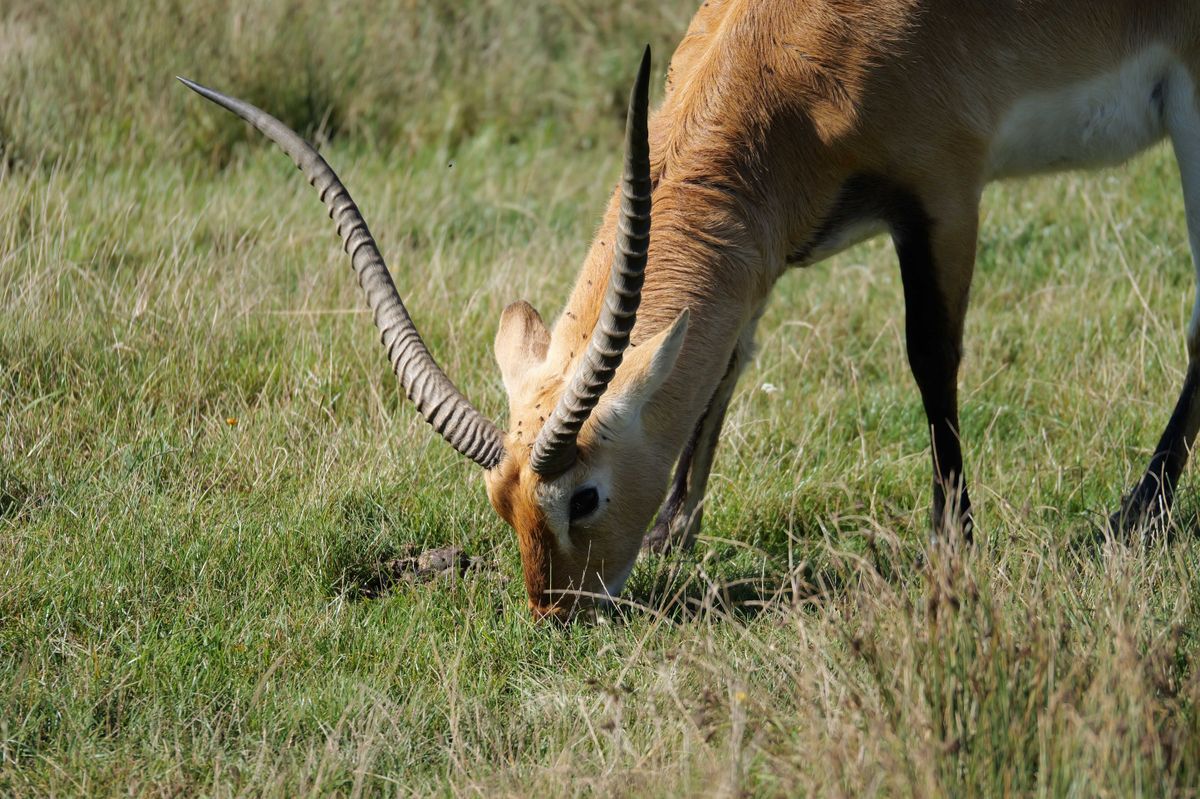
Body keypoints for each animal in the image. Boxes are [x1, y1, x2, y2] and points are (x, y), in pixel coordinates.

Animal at [181, 0, 1200, 620]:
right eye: (499, 499)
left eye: (583, 495)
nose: (555, 612)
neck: (800, 56)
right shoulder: (757, 256)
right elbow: (725, 364)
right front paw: (677, 534)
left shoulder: (945, 194)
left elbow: (930, 356)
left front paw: (953, 545)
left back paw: (1136, 516)